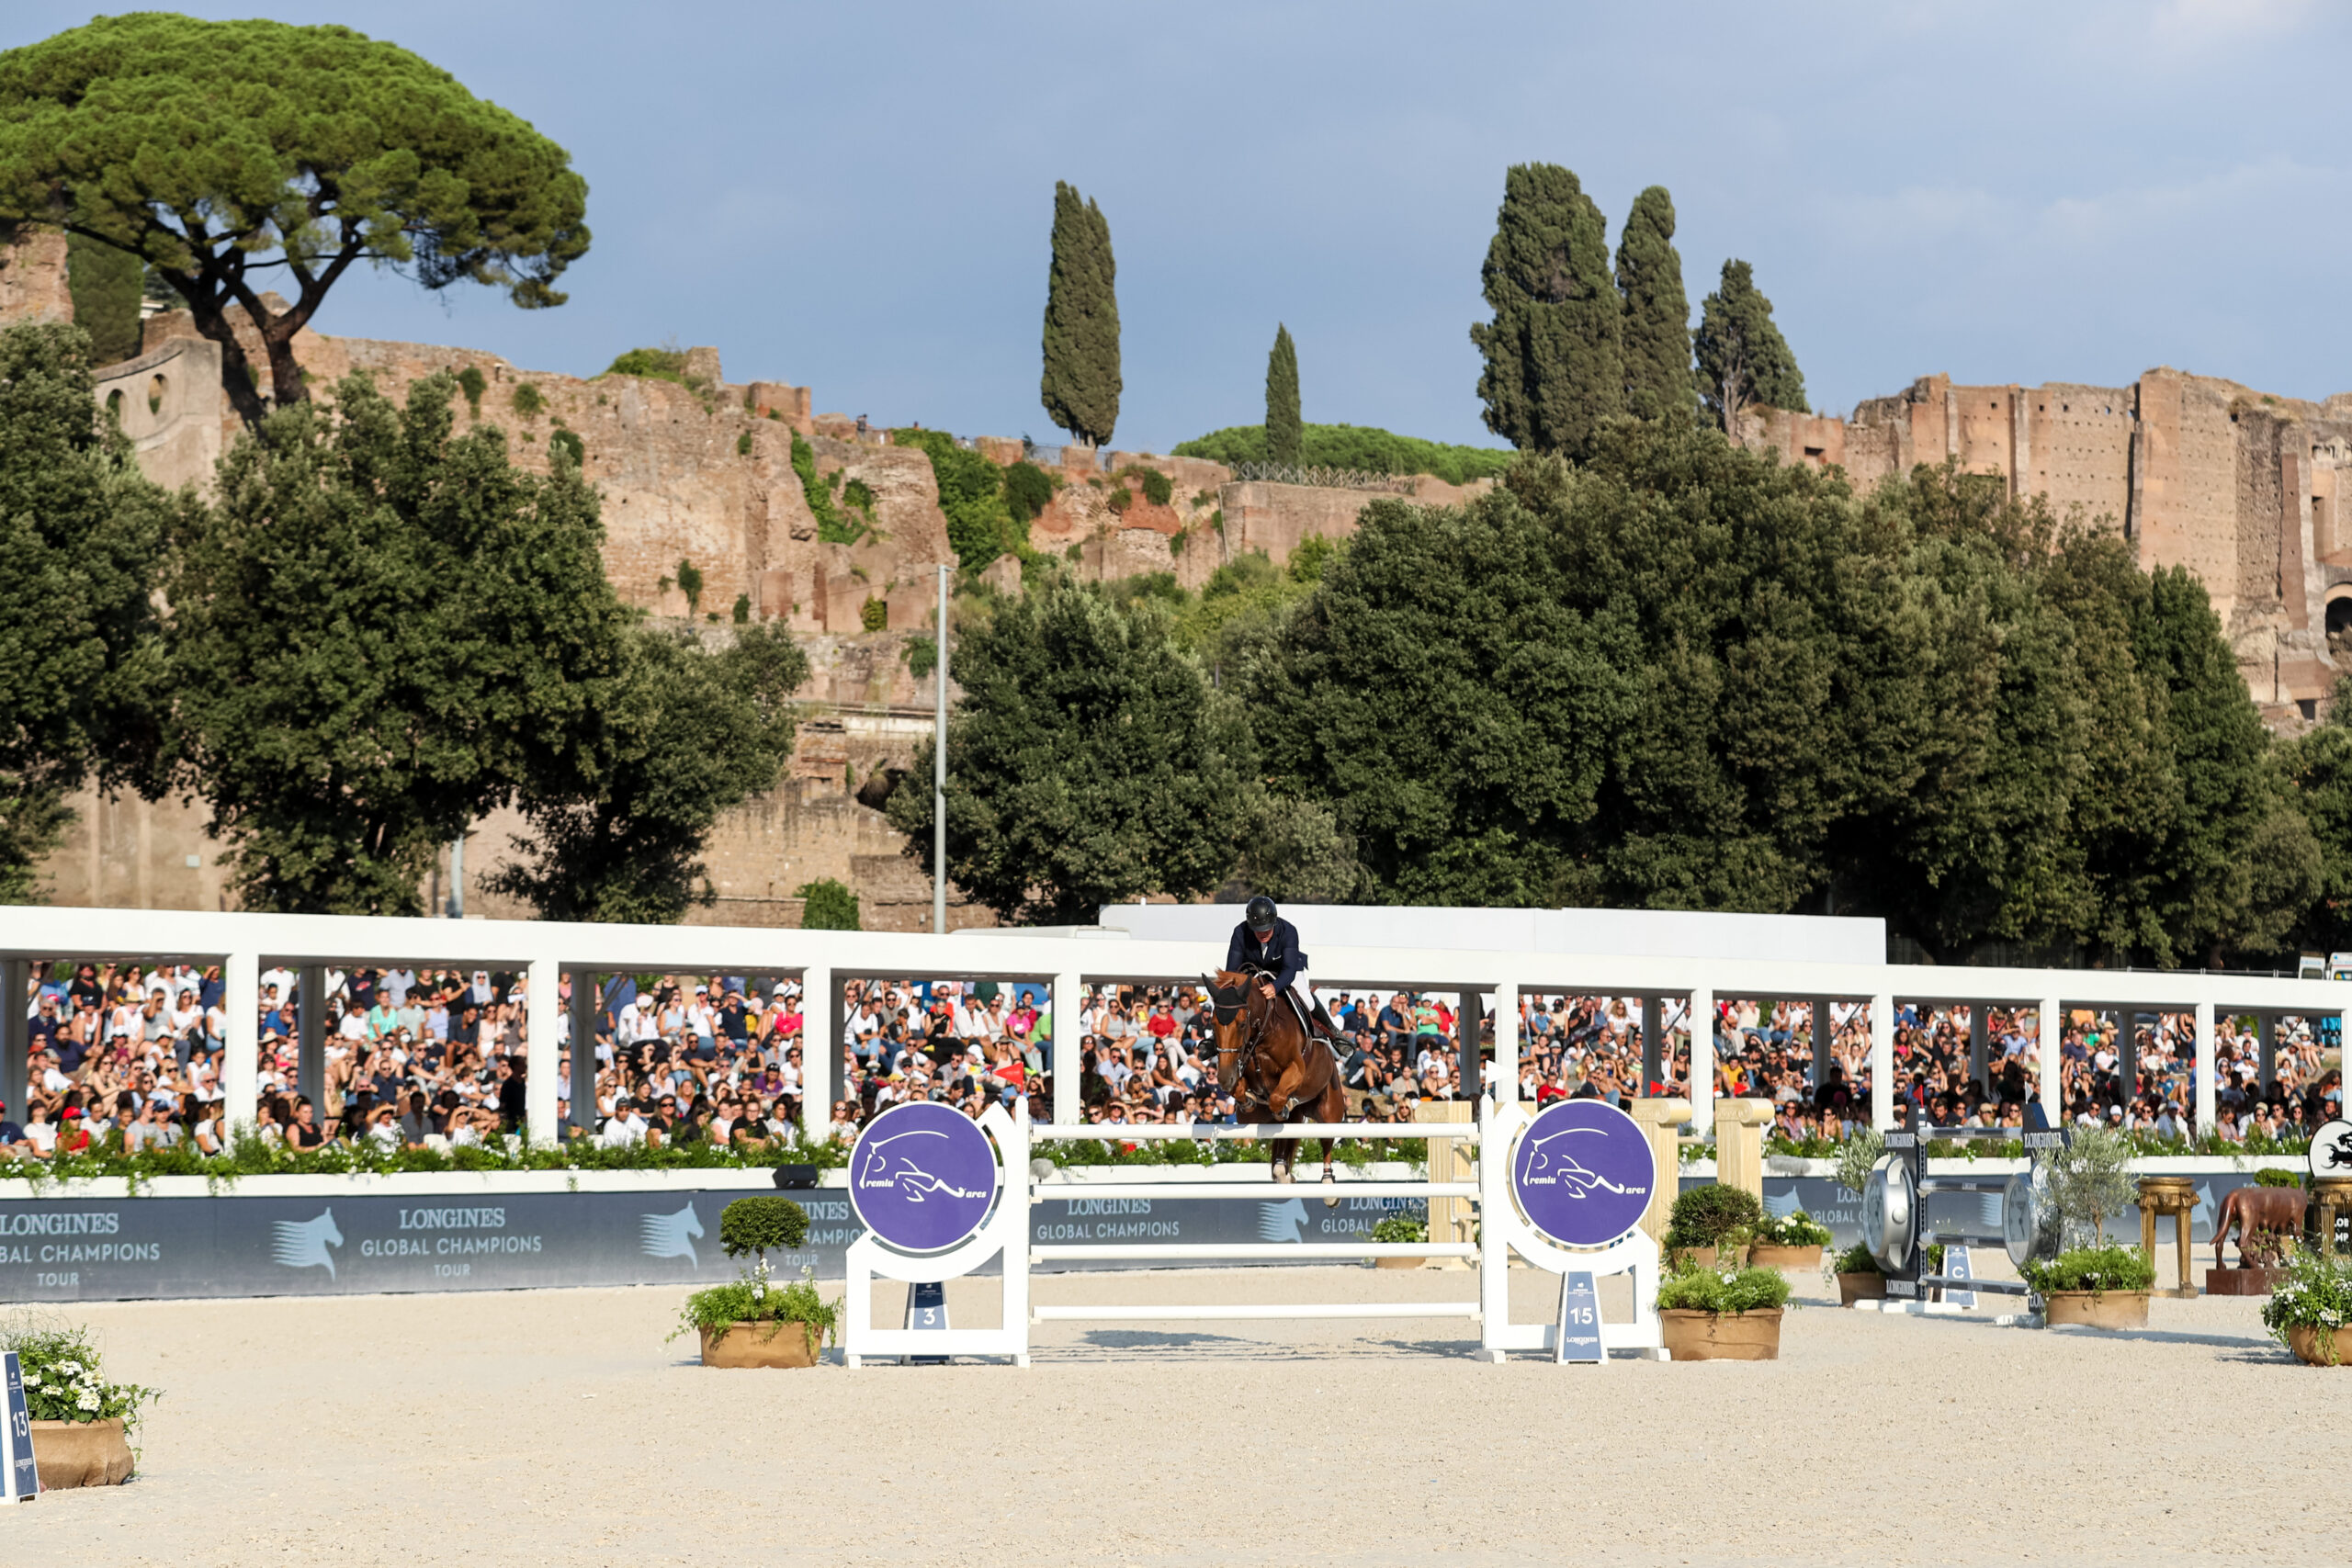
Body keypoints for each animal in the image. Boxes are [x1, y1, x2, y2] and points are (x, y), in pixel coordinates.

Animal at [1204, 964, 1354, 1213]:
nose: (1225, 1079)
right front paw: (1247, 1098)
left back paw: (1328, 1188)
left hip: (1329, 1106)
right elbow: (1246, 1093)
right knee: (1286, 1133)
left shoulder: (1296, 1067)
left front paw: (1282, 1102)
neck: (1263, 1033)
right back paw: (1284, 1172)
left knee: (1325, 1139)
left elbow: (1277, 1097)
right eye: (1213, 1024)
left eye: (1242, 1024)